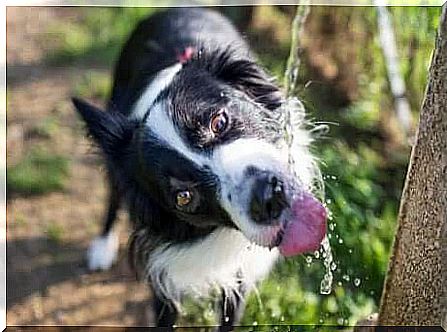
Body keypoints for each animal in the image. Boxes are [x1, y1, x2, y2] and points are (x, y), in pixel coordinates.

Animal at [72, 7, 328, 330]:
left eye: (219, 121)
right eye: (183, 197)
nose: (269, 198)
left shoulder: (240, 276)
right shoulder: (164, 276)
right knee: (113, 195)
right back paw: (102, 247)